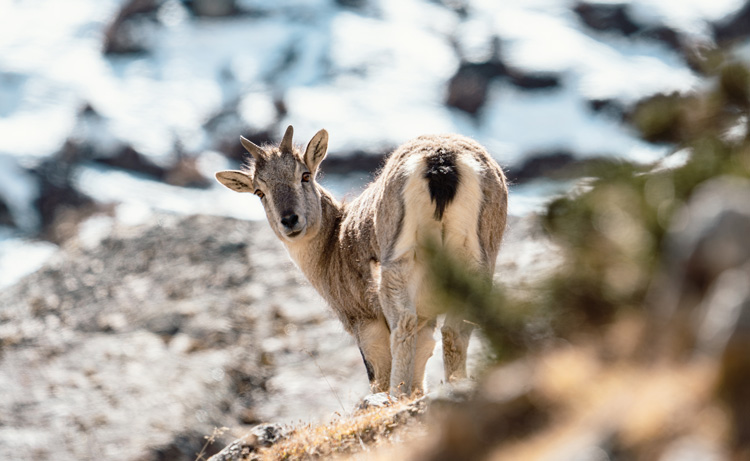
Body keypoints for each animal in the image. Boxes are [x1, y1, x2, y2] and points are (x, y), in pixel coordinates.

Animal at [216, 126, 507, 396]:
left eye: (305, 175)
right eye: (259, 191)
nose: (289, 220)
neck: (333, 245)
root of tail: (442, 161)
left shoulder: (364, 320)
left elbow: (377, 370)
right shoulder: (427, 320)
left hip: (398, 260)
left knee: (404, 324)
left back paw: (397, 394)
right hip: (478, 258)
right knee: (456, 331)